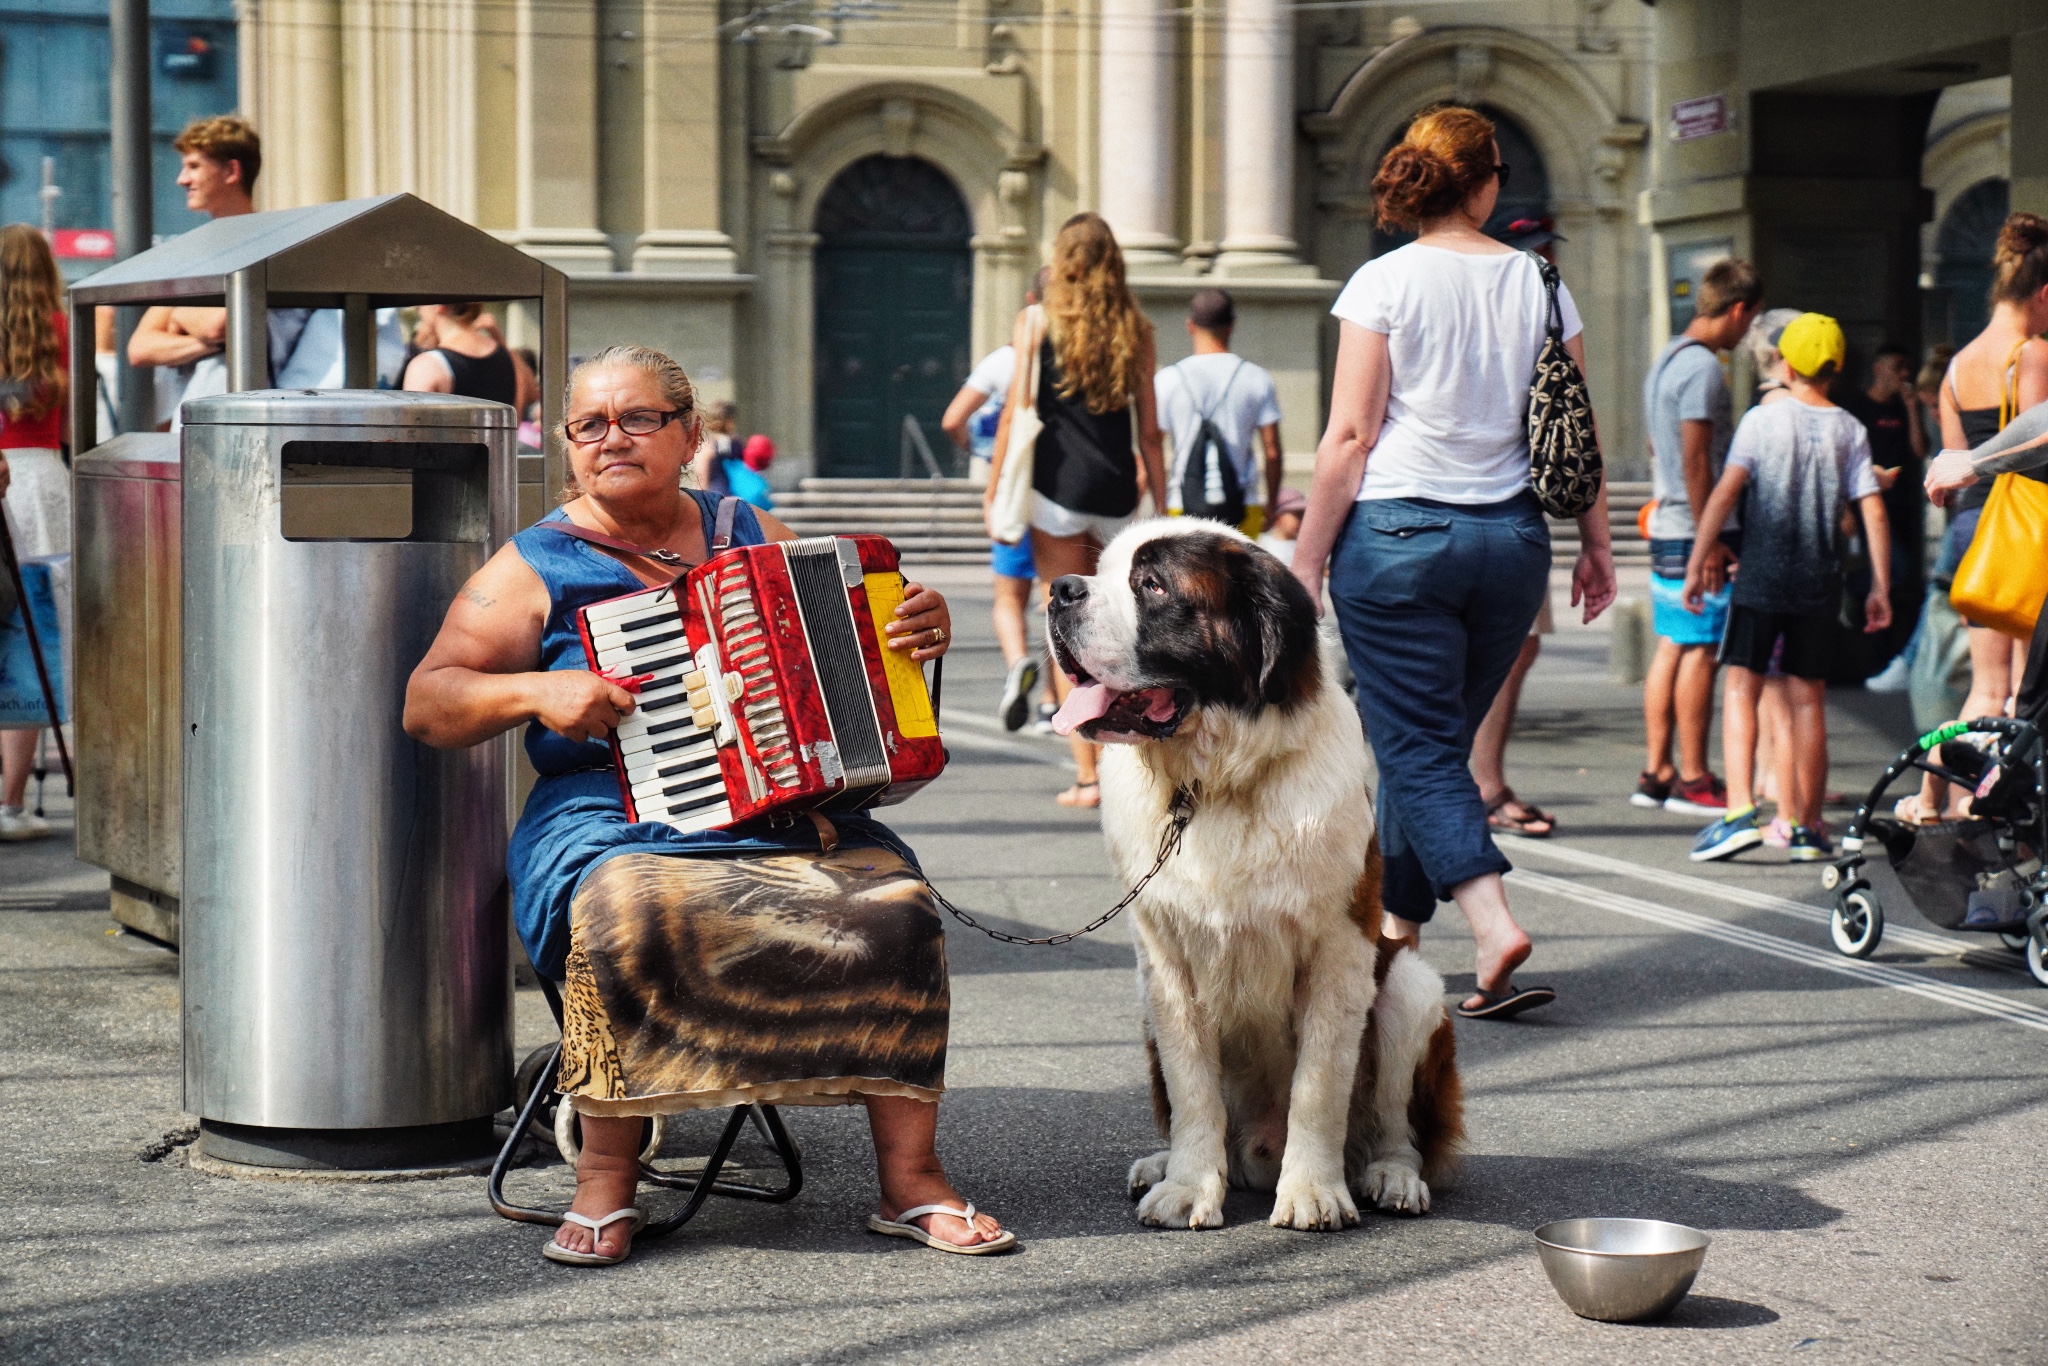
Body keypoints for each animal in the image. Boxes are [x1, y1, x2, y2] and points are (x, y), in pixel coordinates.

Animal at [1048, 518, 1466, 1236]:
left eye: (1152, 586)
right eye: (1099, 571)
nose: (1060, 589)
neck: (1215, 783)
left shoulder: (1339, 950)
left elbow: (1318, 1084)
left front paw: (1314, 1194)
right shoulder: (1166, 961)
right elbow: (1192, 1086)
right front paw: (1188, 1185)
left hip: (1412, 986)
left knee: (1398, 1127)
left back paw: (1390, 1176)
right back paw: (1163, 1162)